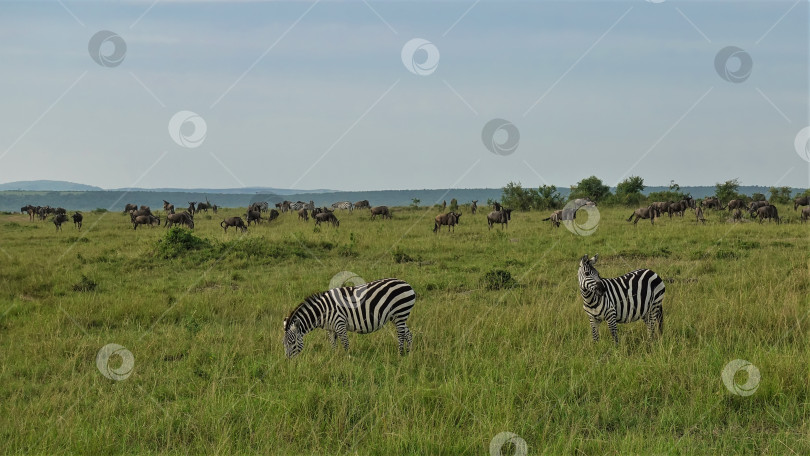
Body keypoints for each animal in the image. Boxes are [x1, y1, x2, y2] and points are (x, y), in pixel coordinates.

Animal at [280, 276, 414, 358]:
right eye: (283, 344)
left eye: (293, 342)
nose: (288, 361)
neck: (323, 311)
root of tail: (406, 283)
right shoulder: (330, 329)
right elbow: (333, 345)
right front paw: (333, 359)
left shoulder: (340, 324)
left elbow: (345, 344)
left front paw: (347, 360)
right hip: (396, 317)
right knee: (408, 334)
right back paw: (408, 354)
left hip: (400, 313)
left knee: (401, 335)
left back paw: (399, 354)